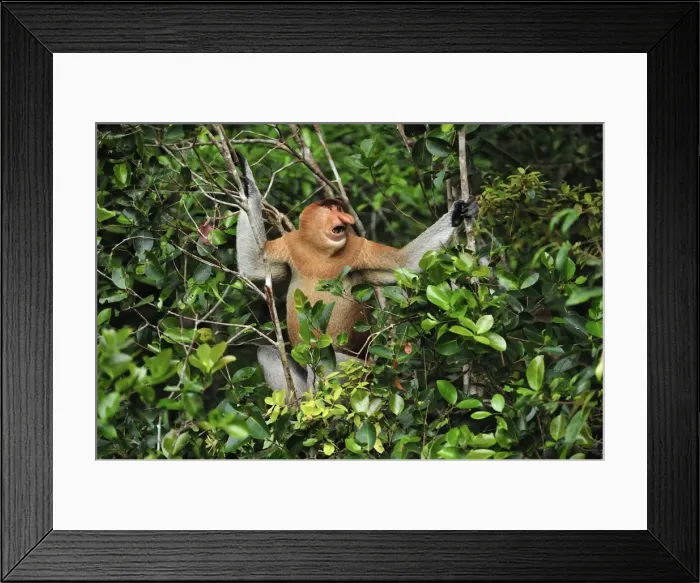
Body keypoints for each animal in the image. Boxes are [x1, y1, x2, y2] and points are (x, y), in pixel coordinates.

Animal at [236, 156, 478, 399]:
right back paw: (300, 404)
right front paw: (247, 184)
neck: (321, 251)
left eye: (340, 208)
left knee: (326, 357)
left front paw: (458, 213)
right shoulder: (290, 243)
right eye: (332, 208)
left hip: (358, 369)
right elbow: (254, 267)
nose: (346, 217)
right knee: (267, 352)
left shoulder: (358, 247)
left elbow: (404, 263)